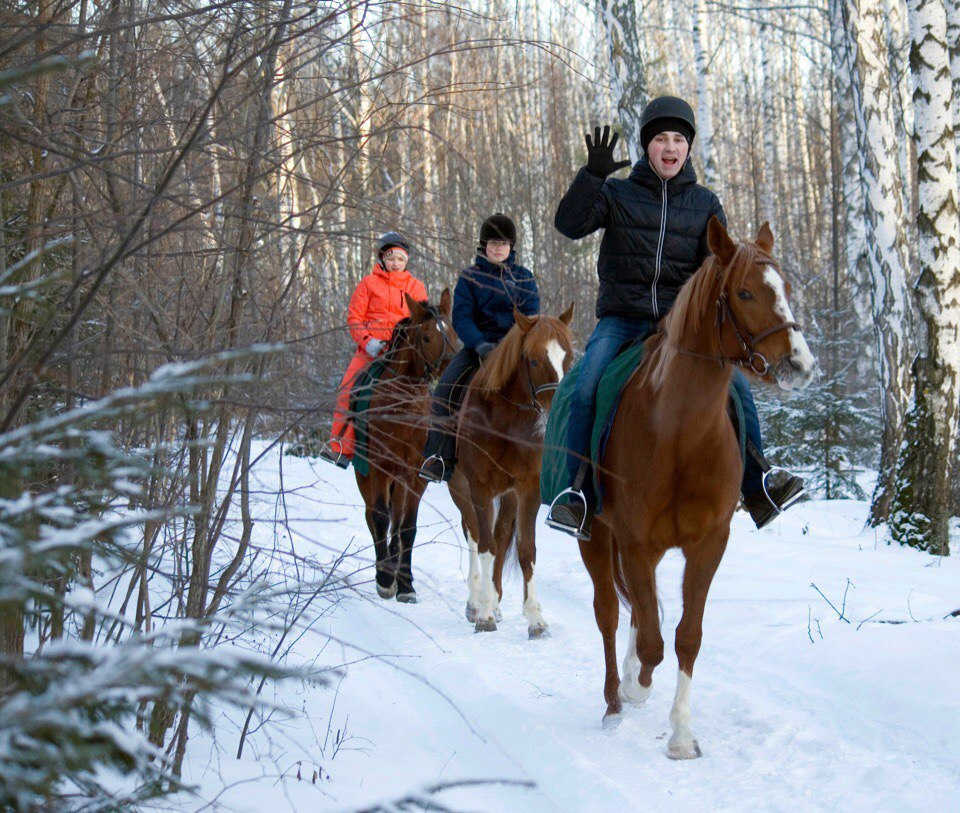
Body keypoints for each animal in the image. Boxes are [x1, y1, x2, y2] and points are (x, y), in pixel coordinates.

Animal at [356, 292, 458, 604]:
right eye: (425, 337)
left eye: (453, 332)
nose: (449, 368)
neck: (403, 406)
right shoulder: (378, 466)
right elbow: (380, 517)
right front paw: (385, 579)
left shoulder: (415, 474)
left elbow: (407, 527)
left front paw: (405, 584)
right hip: (367, 475)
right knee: (373, 515)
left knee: (396, 521)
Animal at [448, 304, 572, 636]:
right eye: (534, 360)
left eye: (568, 357)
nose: (558, 407)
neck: (506, 420)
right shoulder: (479, 486)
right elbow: (485, 546)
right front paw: (484, 615)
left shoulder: (526, 489)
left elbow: (525, 549)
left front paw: (535, 619)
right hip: (459, 486)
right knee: (474, 532)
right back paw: (477, 601)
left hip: (507, 496)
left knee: (501, 535)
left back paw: (494, 598)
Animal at [580, 219, 812, 760]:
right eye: (745, 292)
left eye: (786, 289)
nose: (800, 364)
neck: (680, 433)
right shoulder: (635, 542)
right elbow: (651, 640)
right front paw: (637, 687)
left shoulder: (708, 543)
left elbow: (686, 636)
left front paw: (682, 734)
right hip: (597, 537)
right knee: (609, 613)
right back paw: (614, 702)